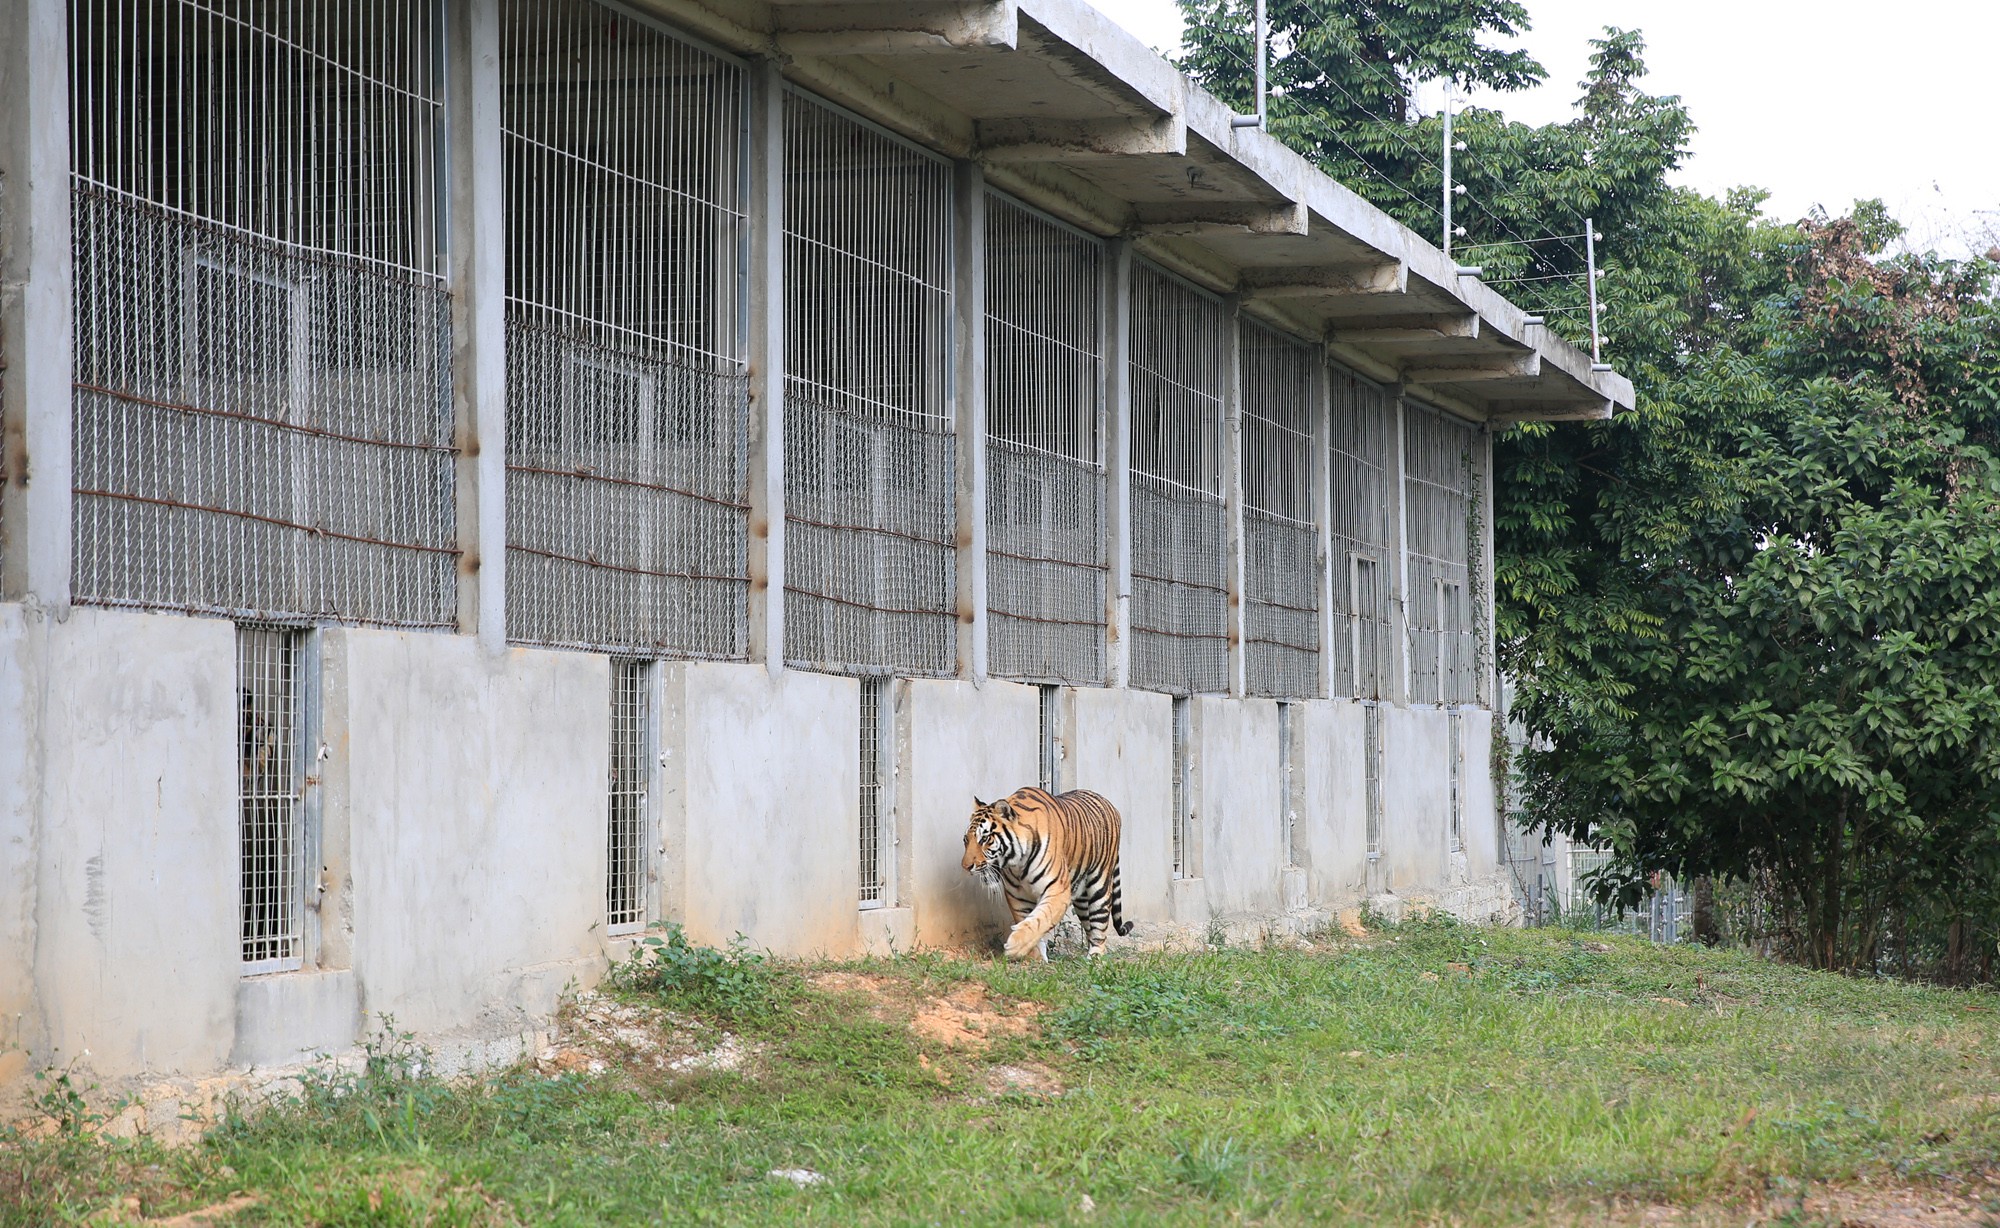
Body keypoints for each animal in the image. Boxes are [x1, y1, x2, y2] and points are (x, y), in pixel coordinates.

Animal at [960, 788, 1136, 964]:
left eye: (985, 839)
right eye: (965, 839)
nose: (966, 866)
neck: (1018, 864)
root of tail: (1109, 803)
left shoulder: (1058, 891)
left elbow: (1041, 919)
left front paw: (1015, 946)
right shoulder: (1018, 897)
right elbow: (1028, 920)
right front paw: (1036, 958)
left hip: (1099, 886)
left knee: (1099, 927)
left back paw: (1095, 957)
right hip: (1081, 898)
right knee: (1089, 927)